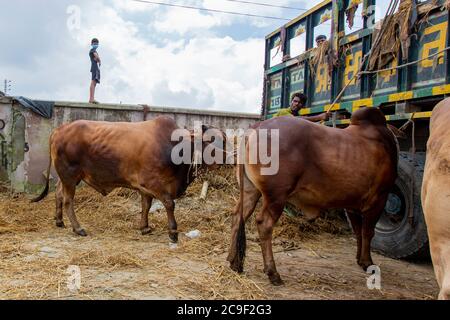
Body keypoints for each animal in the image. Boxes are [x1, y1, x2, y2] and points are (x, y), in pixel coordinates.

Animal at [30, 116, 224, 241]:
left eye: (224, 140)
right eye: (209, 141)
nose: (224, 160)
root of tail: (60, 129)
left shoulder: (145, 188)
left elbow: (146, 205)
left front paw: (145, 227)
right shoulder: (153, 183)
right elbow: (169, 204)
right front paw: (173, 232)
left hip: (68, 177)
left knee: (58, 194)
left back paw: (59, 221)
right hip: (69, 175)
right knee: (68, 201)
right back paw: (78, 228)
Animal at [229, 108, 398, 284]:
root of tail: (257, 127)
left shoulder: (353, 205)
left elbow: (358, 232)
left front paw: (360, 259)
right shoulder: (379, 197)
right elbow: (368, 232)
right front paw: (367, 262)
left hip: (251, 191)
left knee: (238, 216)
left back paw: (234, 262)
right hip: (276, 196)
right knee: (264, 224)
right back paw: (273, 273)